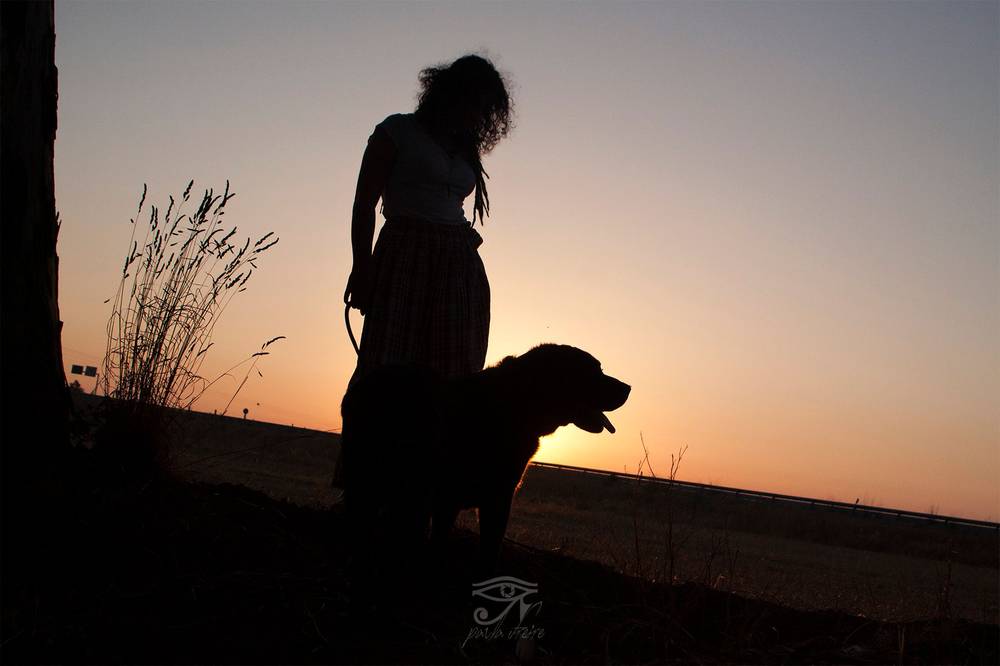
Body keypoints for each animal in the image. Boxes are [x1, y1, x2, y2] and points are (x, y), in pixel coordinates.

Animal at [340, 344, 630, 580]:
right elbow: (490, 550)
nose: (628, 388)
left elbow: (439, 540)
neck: (521, 402)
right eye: (595, 371)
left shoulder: (449, 501)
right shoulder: (496, 497)